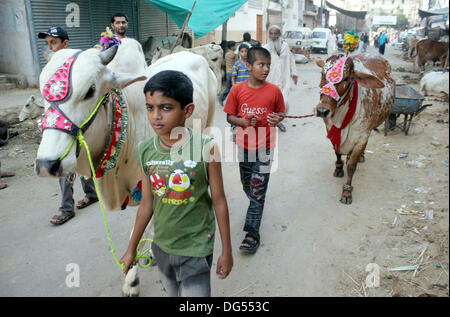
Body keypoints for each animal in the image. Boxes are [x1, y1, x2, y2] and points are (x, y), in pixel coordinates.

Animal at [314, 53, 396, 204]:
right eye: (322, 73)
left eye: (347, 78)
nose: (322, 110)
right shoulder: (330, 131)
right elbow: (337, 153)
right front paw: (339, 169)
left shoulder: (362, 137)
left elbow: (352, 166)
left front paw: (347, 192)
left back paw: (361, 156)